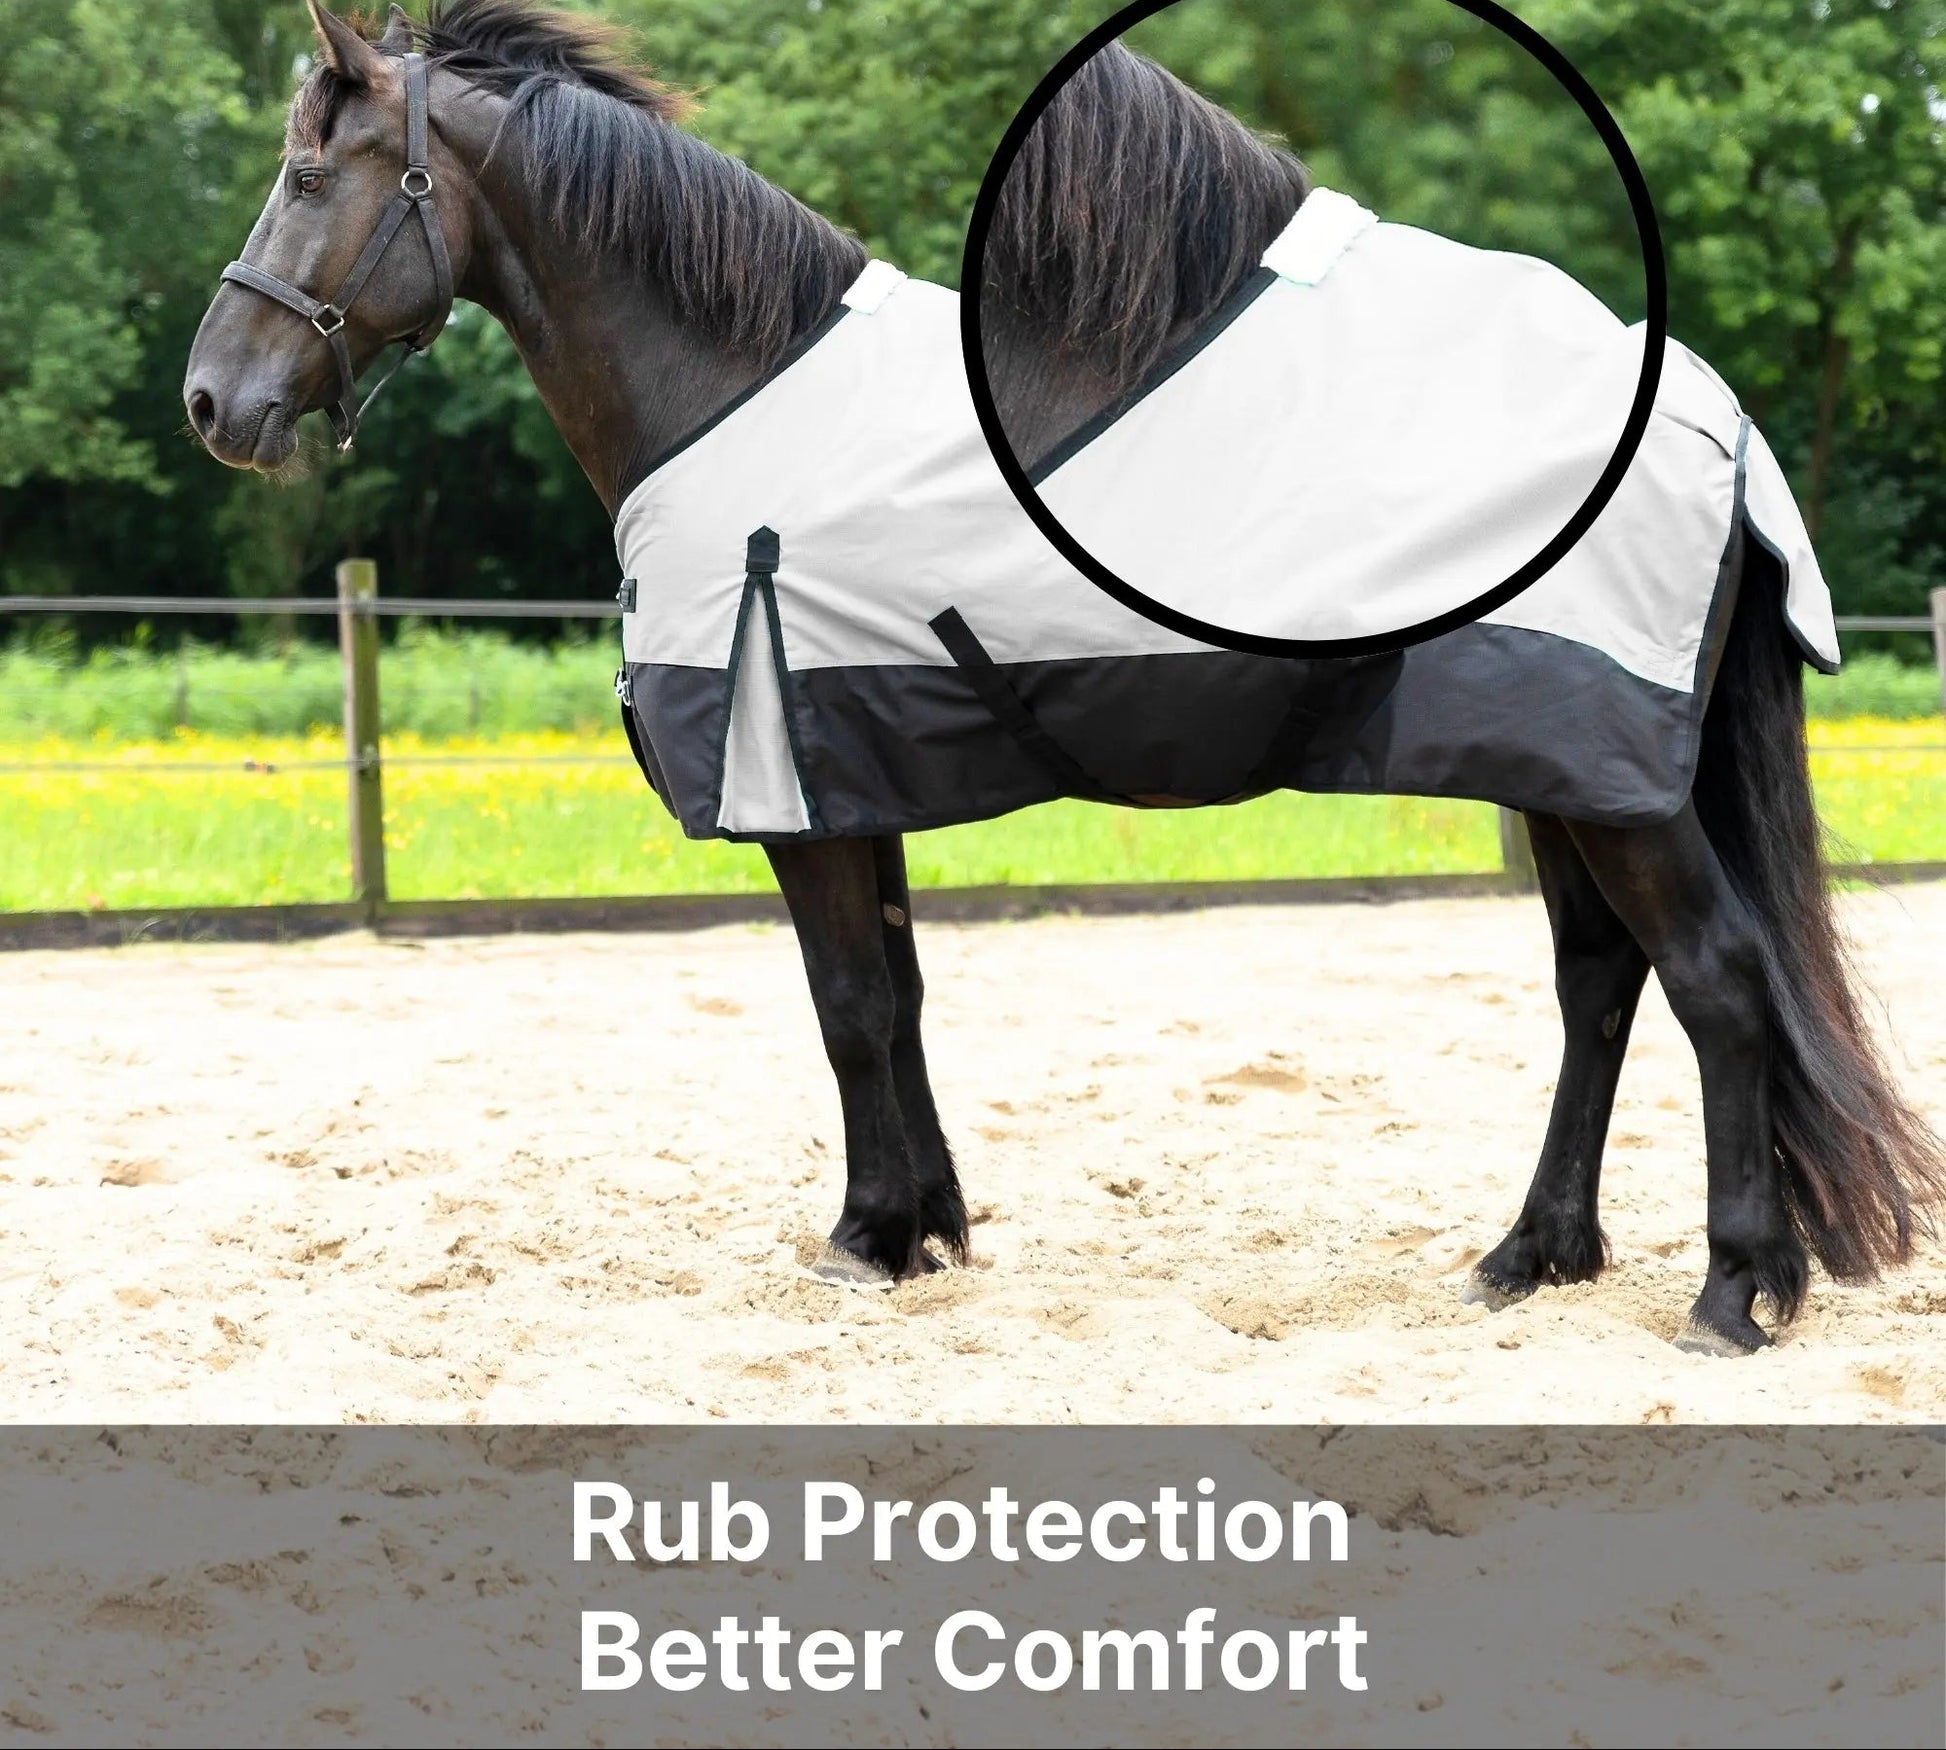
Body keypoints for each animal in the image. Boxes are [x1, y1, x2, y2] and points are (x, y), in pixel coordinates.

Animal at [182, 2, 1943, 1356]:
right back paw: (1528, 1258)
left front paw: (864, 1237)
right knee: (1599, 984)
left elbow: (843, 1005)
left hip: (1607, 778)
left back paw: (1733, 1292)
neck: (729, 385)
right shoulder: (852, 763)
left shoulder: (796, 777)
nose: (213, 400)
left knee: (1715, 980)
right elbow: (893, 997)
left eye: (305, 173)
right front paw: (927, 1228)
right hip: (1562, 769)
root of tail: (1712, 415)